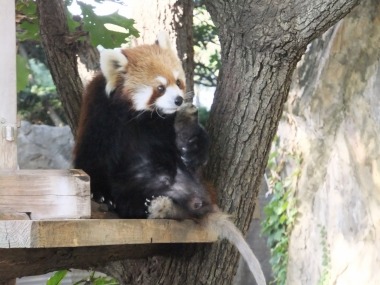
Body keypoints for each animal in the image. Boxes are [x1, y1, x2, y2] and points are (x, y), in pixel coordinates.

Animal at [73, 32, 264, 282]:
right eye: (160, 88)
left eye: (178, 82)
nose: (179, 100)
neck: (139, 116)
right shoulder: (100, 112)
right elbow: (92, 156)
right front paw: (100, 195)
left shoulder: (164, 124)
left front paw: (190, 143)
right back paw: (152, 205)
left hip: (194, 183)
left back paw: (168, 202)